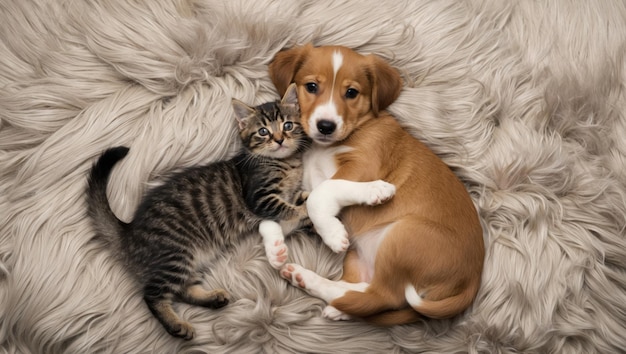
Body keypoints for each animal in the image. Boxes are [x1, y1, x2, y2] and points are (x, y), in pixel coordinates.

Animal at [85, 83, 310, 340]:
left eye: (287, 125)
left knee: (181, 289)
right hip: (175, 254)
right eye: (263, 132)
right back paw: (176, 324)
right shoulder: (259, 197)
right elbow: (288, 208)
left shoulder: (285, 196)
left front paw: (308, 204)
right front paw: (308, 209)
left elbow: (294, 204)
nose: (280, 139)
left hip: (189, 258)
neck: (286, 163)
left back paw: (213, 298)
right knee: (153, 294)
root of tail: (129, 230)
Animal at [268, 42, 482, 324]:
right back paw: (314, 286)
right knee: (362, 293)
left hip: (403, 235)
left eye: (351, 92)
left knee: (383, 296)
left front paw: (332, 234)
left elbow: (323, 192)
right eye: (311, 86)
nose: (326, 126)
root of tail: (472, 281)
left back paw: (311, 281)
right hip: (358, 257)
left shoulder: (364, 164)